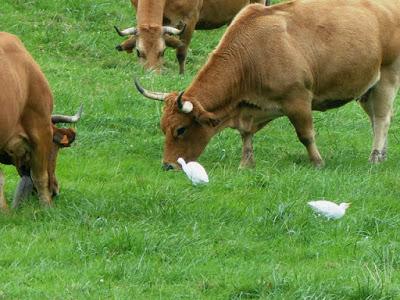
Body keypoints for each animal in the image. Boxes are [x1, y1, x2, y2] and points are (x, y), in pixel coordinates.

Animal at [114, 0, 268, 73]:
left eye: (162, 51)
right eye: (138, 52)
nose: (153, 74)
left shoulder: (189, 19)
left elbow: (181, 53)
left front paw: (181, 76)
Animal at [134, 0, 400, 170]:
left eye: (181, 129)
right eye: (163, 127)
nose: (168, 166)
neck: (254, 50)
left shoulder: (298, 100)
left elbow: (306, 135)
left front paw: (317, 162)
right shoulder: (247, 107)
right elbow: (246, 135)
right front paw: (246, 163)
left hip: (386, 78)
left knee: (382, 119)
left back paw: (374, 158)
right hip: (367, 89)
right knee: (376, 120)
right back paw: (383, 155)